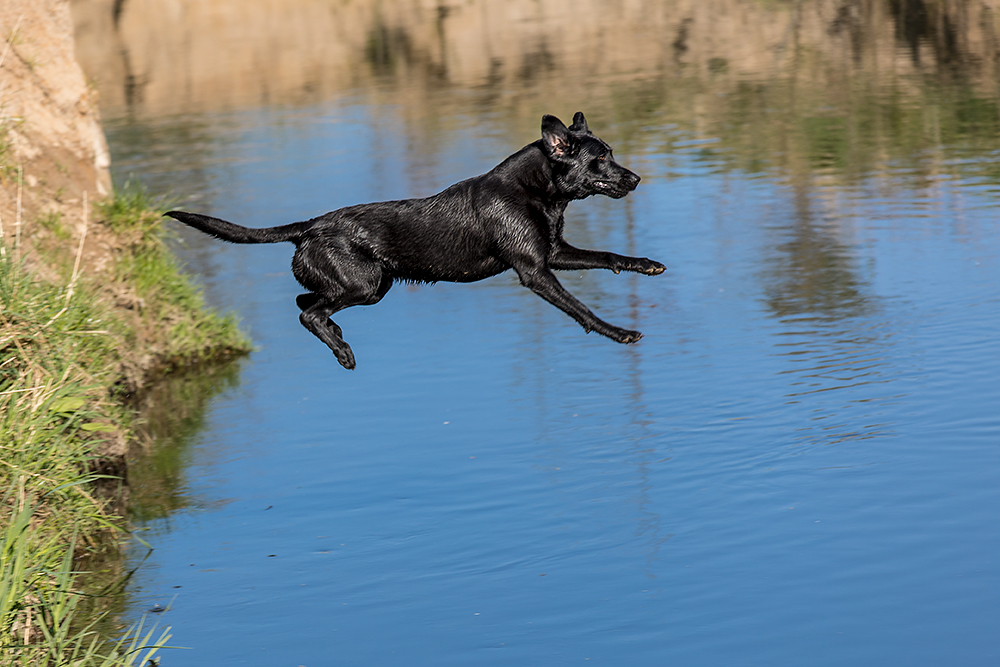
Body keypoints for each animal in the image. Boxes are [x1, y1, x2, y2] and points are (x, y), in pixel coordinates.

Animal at [164, 111, 664, 368]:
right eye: (601, 158)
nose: (637, 178)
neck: (536, 190)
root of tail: (308, 225)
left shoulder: (555, 253)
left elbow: (607, 255)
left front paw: (647, 265)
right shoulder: (535, 272)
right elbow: (582, 309)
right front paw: (620, 333)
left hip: (374, 286)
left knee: (305, 303)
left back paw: (338, 337)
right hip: (365, 285)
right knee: (310, 312)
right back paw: (343, 351)